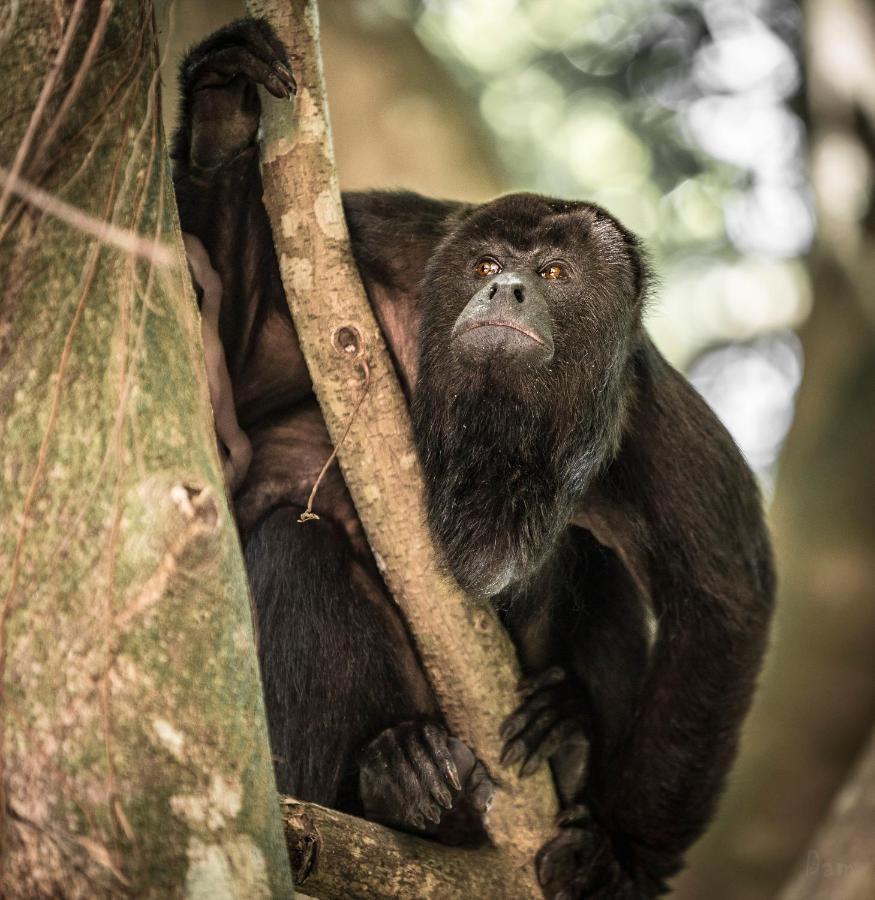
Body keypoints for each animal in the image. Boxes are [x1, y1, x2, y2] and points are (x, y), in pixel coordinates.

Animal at [171, 15, 772, 900]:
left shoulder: (648, 411)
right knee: (293, 543)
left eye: (553, 271)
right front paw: (219, 111)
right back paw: (390, 780)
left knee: (597, 566)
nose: (505, 290)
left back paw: (567, 736)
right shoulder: (376, 244)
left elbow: (723, 598)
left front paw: (622, 852)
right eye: (486, 264)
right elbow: (225, 382)